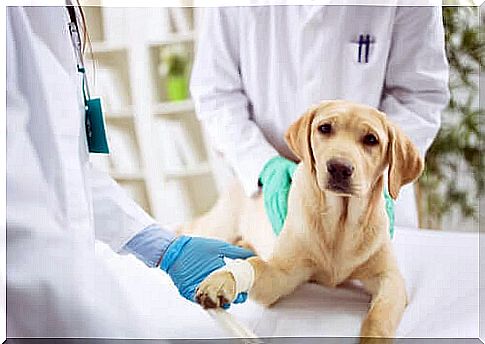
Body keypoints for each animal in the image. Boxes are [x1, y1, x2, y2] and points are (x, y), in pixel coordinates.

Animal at [180, 99, 422, 338]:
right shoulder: (281, 276)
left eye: (371, 139)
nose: (339, 168)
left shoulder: (390, 279)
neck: (340, 224)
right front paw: (222, 280)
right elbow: (255, 265)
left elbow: (379, 317)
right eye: (324, 128)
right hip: (217, 227)